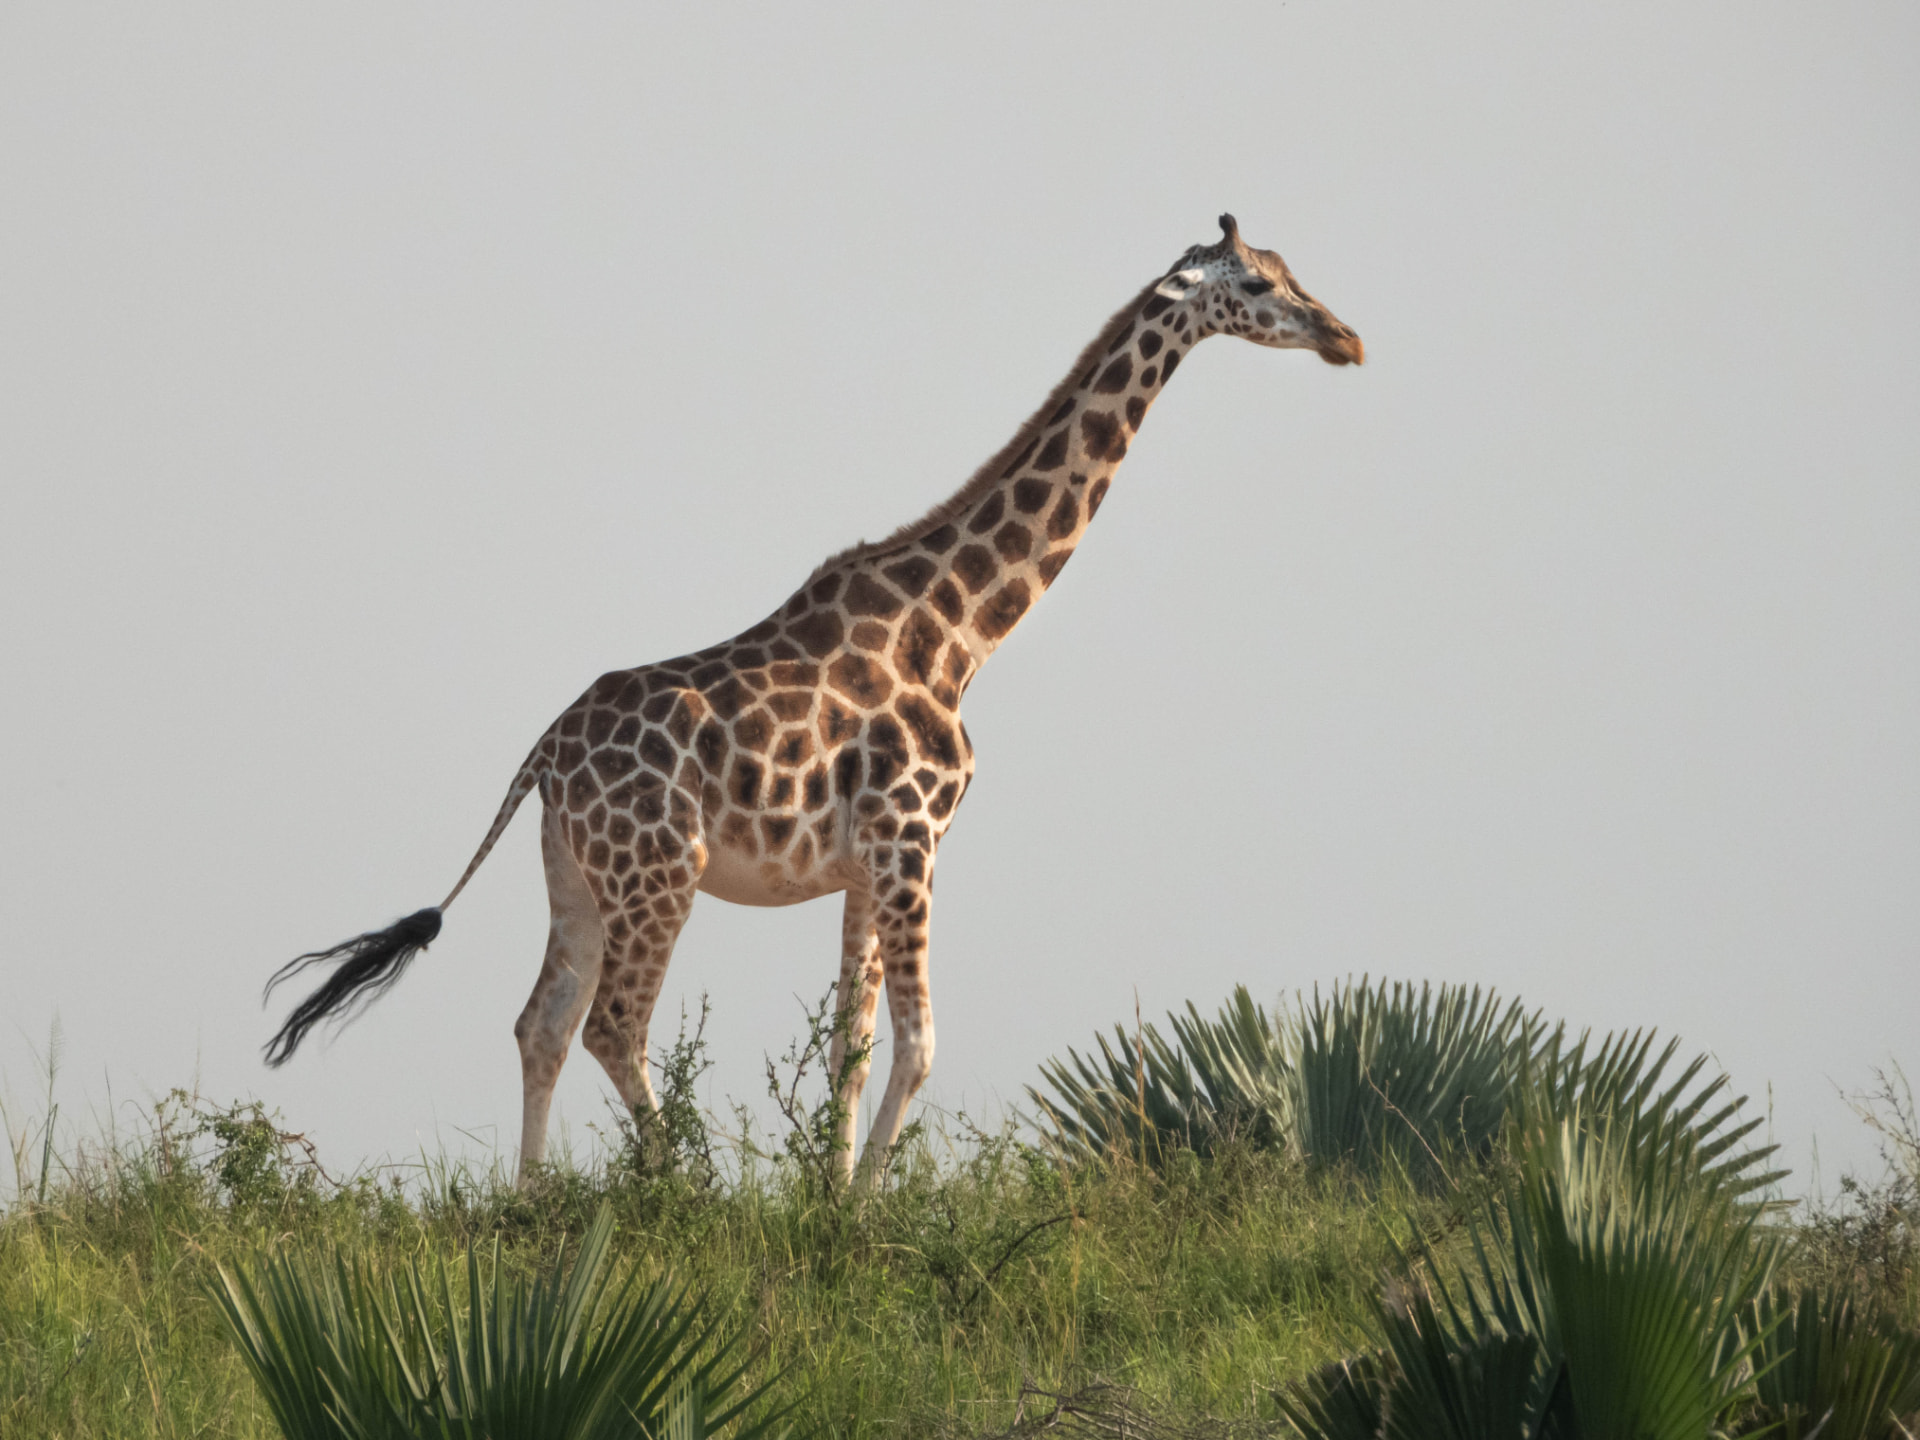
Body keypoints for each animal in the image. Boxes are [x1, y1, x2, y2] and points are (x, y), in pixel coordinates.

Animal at [265, 214, 1364, 1188]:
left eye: (1290, 268)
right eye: (1257, 283)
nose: (1346, 337)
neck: (958, 632)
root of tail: (544, 752)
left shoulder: (862, 863)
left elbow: (855, 1046)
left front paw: (828, 1199)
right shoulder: (910, 838)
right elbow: (920, 1041)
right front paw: (866, 1209)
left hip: (575, 874)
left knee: (544, 1021)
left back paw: (528, 1204)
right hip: (661, 870)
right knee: (615, 1023)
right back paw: (683, 1195)